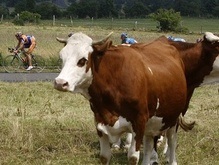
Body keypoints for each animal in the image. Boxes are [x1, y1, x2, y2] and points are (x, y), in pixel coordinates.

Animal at [54, 31, 187, 164]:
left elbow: (133, 157)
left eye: (82, 60)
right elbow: (104, 156)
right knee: (149, 145)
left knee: (172, 141)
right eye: (61, 58)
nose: (60, 83)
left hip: (172, 118)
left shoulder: (139, 123)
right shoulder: (99, 122)